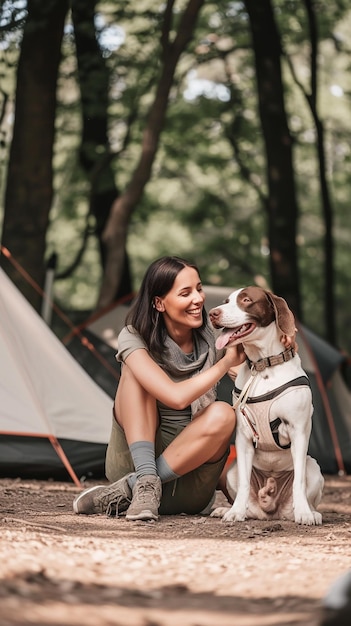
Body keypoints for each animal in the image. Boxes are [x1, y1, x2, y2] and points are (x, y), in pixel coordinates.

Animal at [210, 286, 326, 524]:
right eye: (226, 301)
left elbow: (298, 482)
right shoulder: (244, 437)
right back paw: (231, 508)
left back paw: (311, 512)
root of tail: (272, 509)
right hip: (232, 470)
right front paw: (235, 512)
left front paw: (304, 514)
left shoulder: (298, 431)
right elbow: (244, 484)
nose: (212, 313)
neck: (263, 366)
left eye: (246, 300)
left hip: (314, 467)